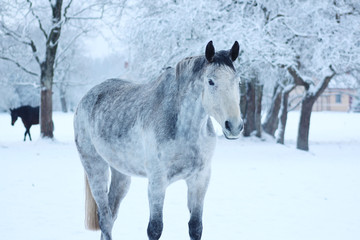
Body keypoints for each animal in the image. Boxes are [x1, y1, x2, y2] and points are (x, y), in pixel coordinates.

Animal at [73, 40, 242, 239]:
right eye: (211, 81)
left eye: (238, 81)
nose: (234, 126)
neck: (185, 130)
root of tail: (86, 97)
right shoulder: (157, 181)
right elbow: (155, 228)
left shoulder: (200, 179)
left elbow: (195, 227)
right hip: (95, 167)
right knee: (105, 218)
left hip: (121, 174)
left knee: (111, 215)